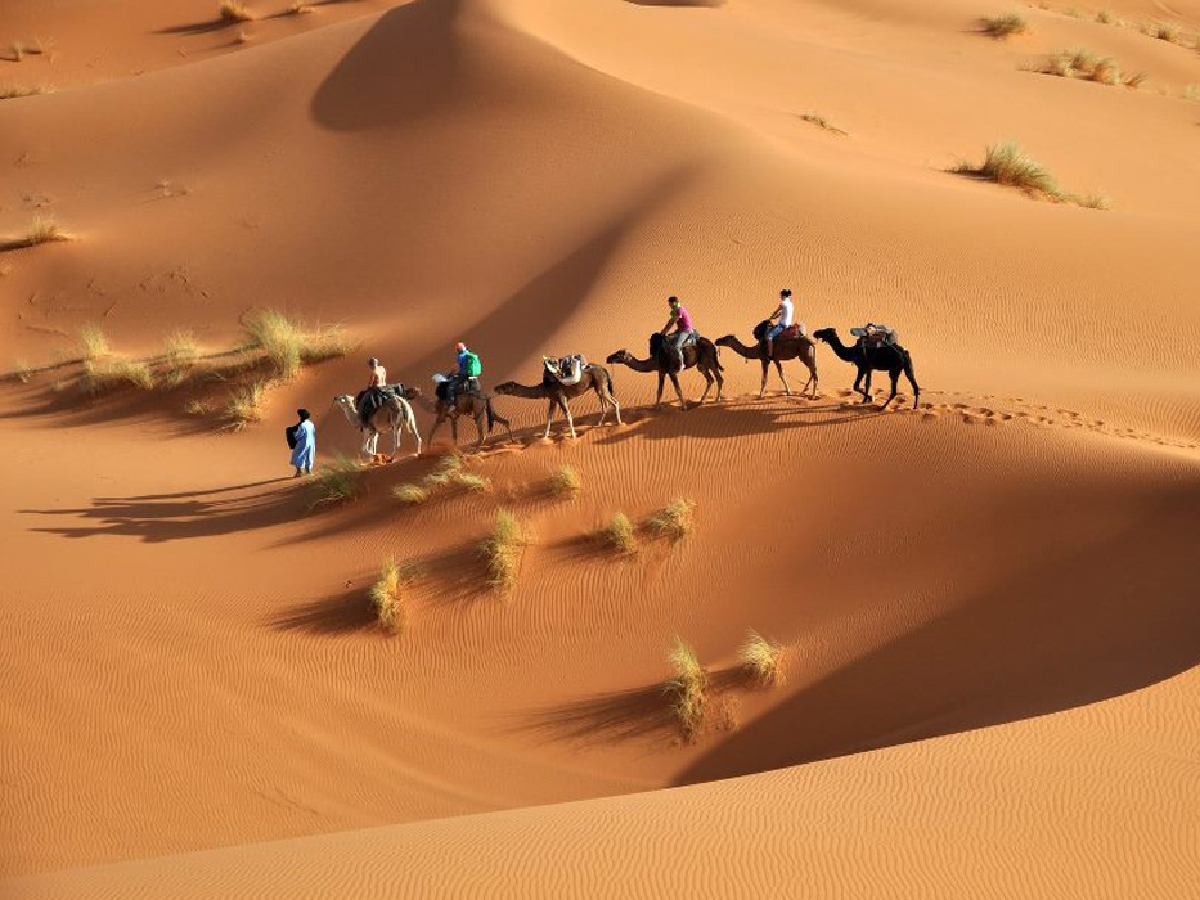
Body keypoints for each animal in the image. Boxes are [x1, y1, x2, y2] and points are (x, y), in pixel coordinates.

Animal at [494, 362, 624, 441]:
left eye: (505, 386)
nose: (495, 388)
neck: (545, 387)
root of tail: (604, 369)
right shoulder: (553, 400)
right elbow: (549, 418)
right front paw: (545, 437)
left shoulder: (561, 397)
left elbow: (568, 416)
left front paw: (573, 435)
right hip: (598, 387)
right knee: (605, 404)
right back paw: (598, 424)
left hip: (601, 385)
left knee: (614, 402)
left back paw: (619, 423)